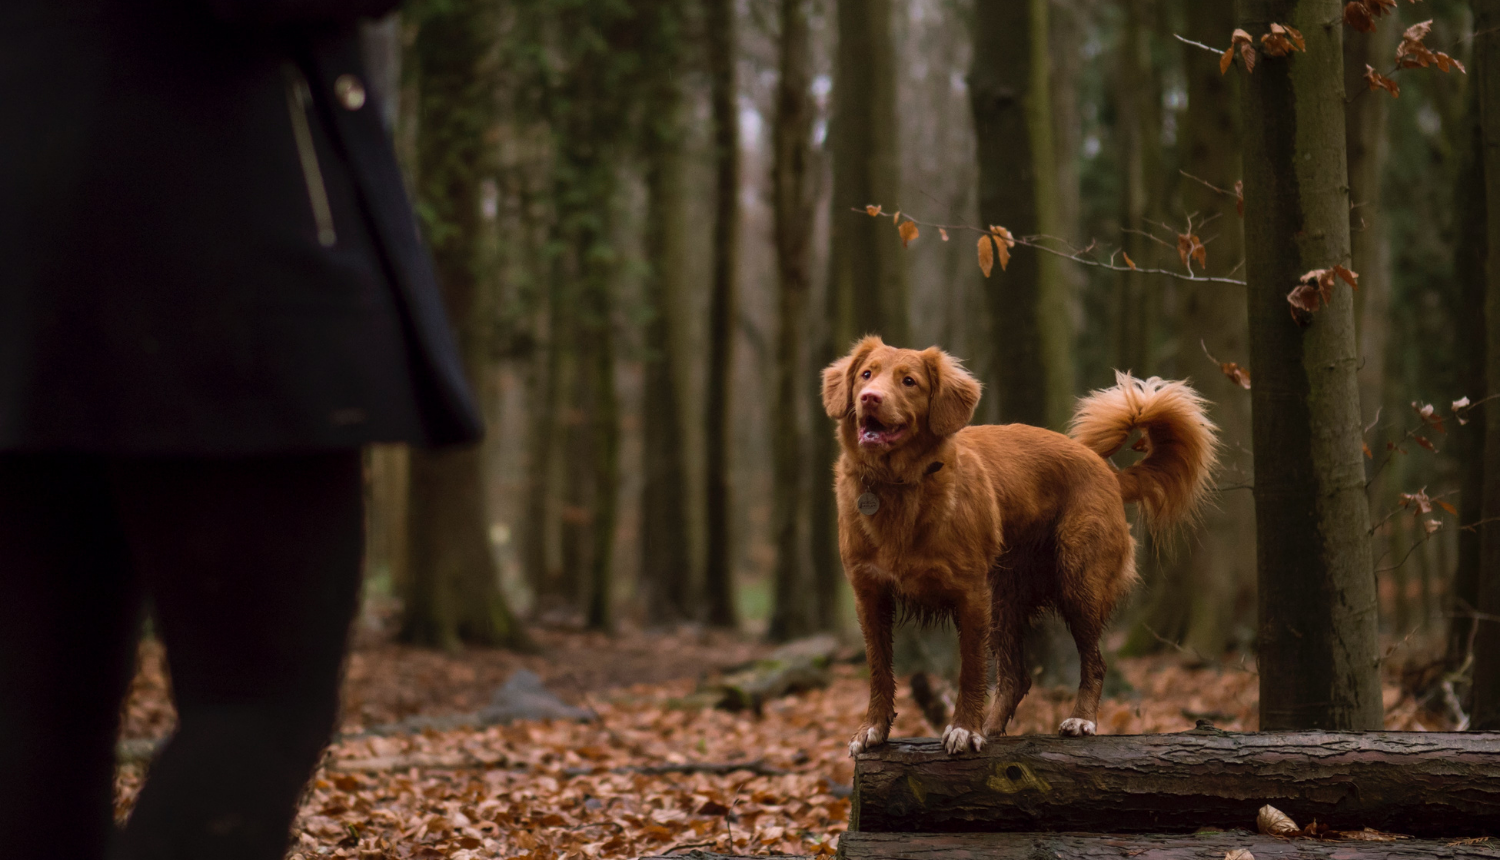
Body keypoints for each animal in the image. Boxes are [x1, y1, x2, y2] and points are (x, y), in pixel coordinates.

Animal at [822, 334, 1218, 750]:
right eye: (866, 375)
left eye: (909, 381)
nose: (869, 398)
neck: (898, 486)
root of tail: (1105, 469)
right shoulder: (869, 594)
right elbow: (879, 670)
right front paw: (873, 728)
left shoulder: (971, 594)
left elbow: (970, 671)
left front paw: (964, 728)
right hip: (1006, 599)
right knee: (1017, 676)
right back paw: (992, 728)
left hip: (1077, 582)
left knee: (1095, 662)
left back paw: (1080, 719)